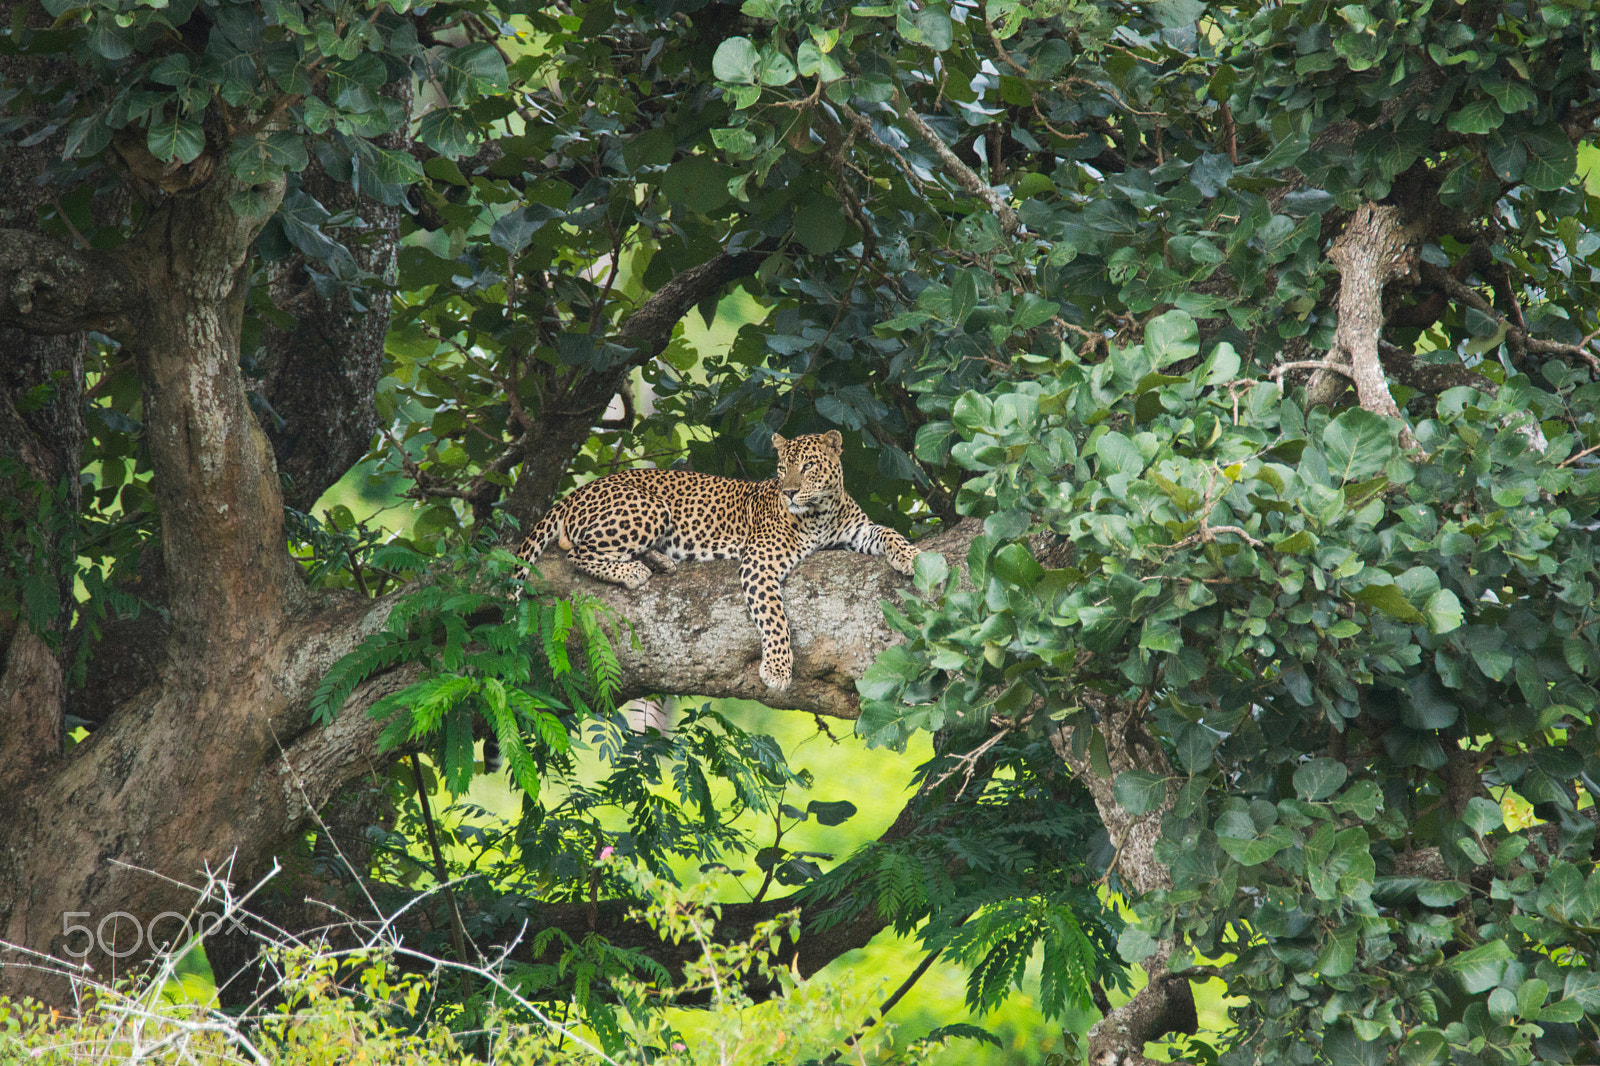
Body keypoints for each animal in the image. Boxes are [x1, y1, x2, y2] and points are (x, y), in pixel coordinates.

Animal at [512, 432, 928, 688]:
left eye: (809, 466)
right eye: (782, 469)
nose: (790, 492)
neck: (820, 513)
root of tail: (578, 491)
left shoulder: (859, 532)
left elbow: (889, 532)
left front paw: (912, 557)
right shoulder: (759, 562)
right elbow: (774, 619)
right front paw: (778, 668)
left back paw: (659, 562)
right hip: (650, 509)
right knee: (576, 552)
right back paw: (632, 571)